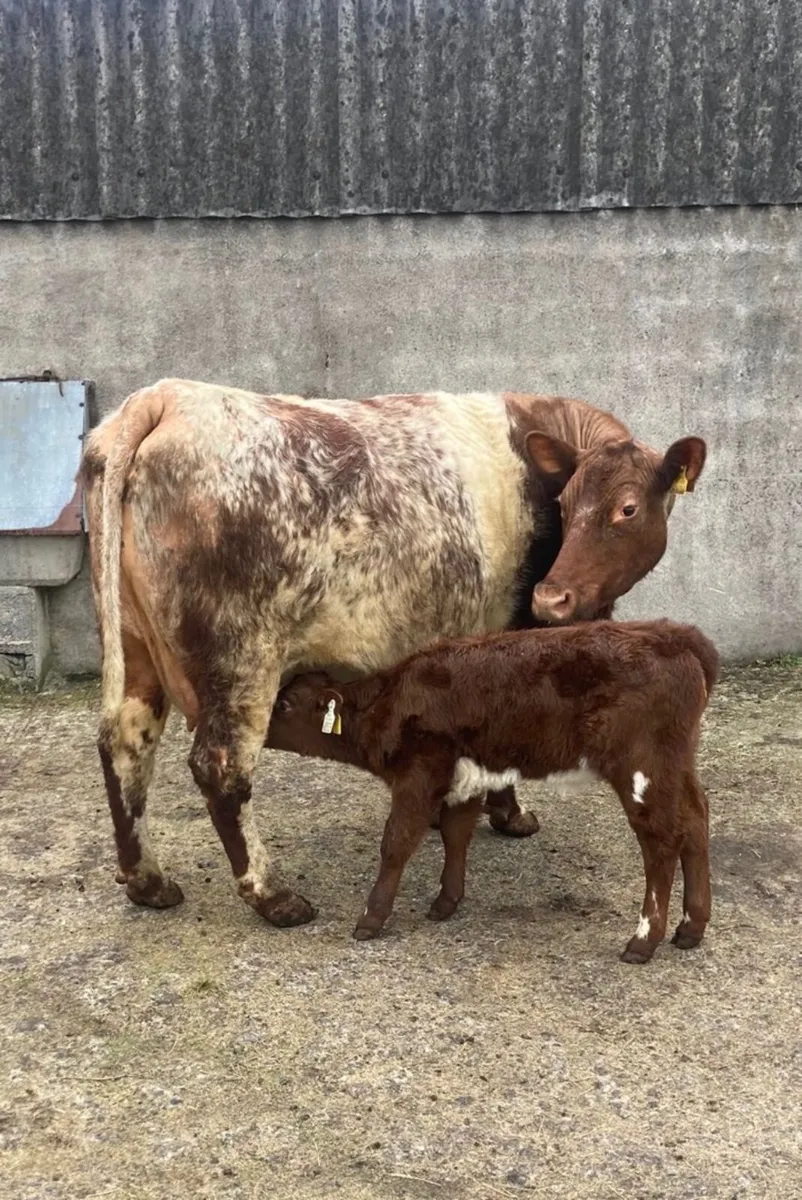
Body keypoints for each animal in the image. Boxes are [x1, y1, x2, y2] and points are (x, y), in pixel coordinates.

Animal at [79, 379, 706, 927]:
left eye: (627, 508)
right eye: (567, 502)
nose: (552, 597)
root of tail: (166, 397)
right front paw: (510, 815)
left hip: (134, 646)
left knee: (124, 742)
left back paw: (148, 882)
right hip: (240, 659)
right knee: (221, 767)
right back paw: (274, 897)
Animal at [267, 620, 719, 963]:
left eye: (284, 705)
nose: (255, 728)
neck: (391, 703)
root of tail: (674, 635)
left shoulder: (419, 773)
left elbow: (396, 842)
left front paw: (371, 918)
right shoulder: (466, 777)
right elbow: (455, 832)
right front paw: (446, 902)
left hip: (641, 767)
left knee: (661, 841)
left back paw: (643, 941)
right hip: (676, 764)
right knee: (697, 819)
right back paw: (691, 927)